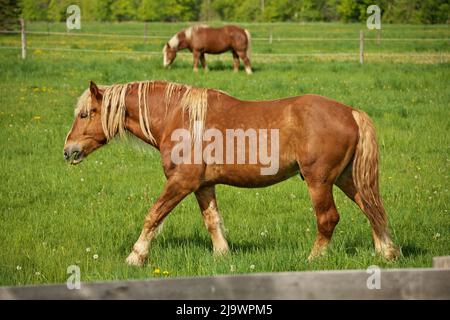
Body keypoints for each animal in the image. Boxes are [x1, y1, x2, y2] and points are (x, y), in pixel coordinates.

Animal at [64, 80, 400, 268]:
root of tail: (351, 112)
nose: (68, 151)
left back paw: (313, 260)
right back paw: (387, 253)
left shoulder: (180, 183)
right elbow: (212, 221)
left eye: (84, 114)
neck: (179, 116)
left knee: (329, 219)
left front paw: (136, 257)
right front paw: (223, 256)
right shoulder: (203, 186)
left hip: (320, 181)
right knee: (372, 210)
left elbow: (153, 216)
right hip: (346, 179)